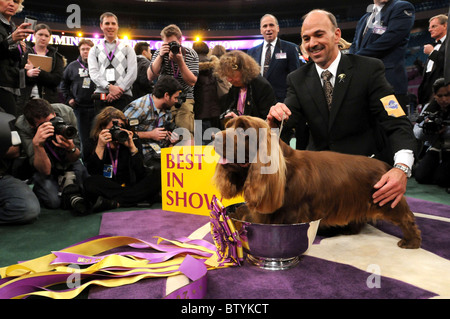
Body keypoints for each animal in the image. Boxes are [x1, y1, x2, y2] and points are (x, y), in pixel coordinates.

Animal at [213, 116, 420, 249]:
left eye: (243, 129)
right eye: (228, 125)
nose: (213, 138)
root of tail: (386, 166)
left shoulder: (293, 212)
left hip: (387, 199)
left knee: (407, 218)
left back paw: (411, 242)